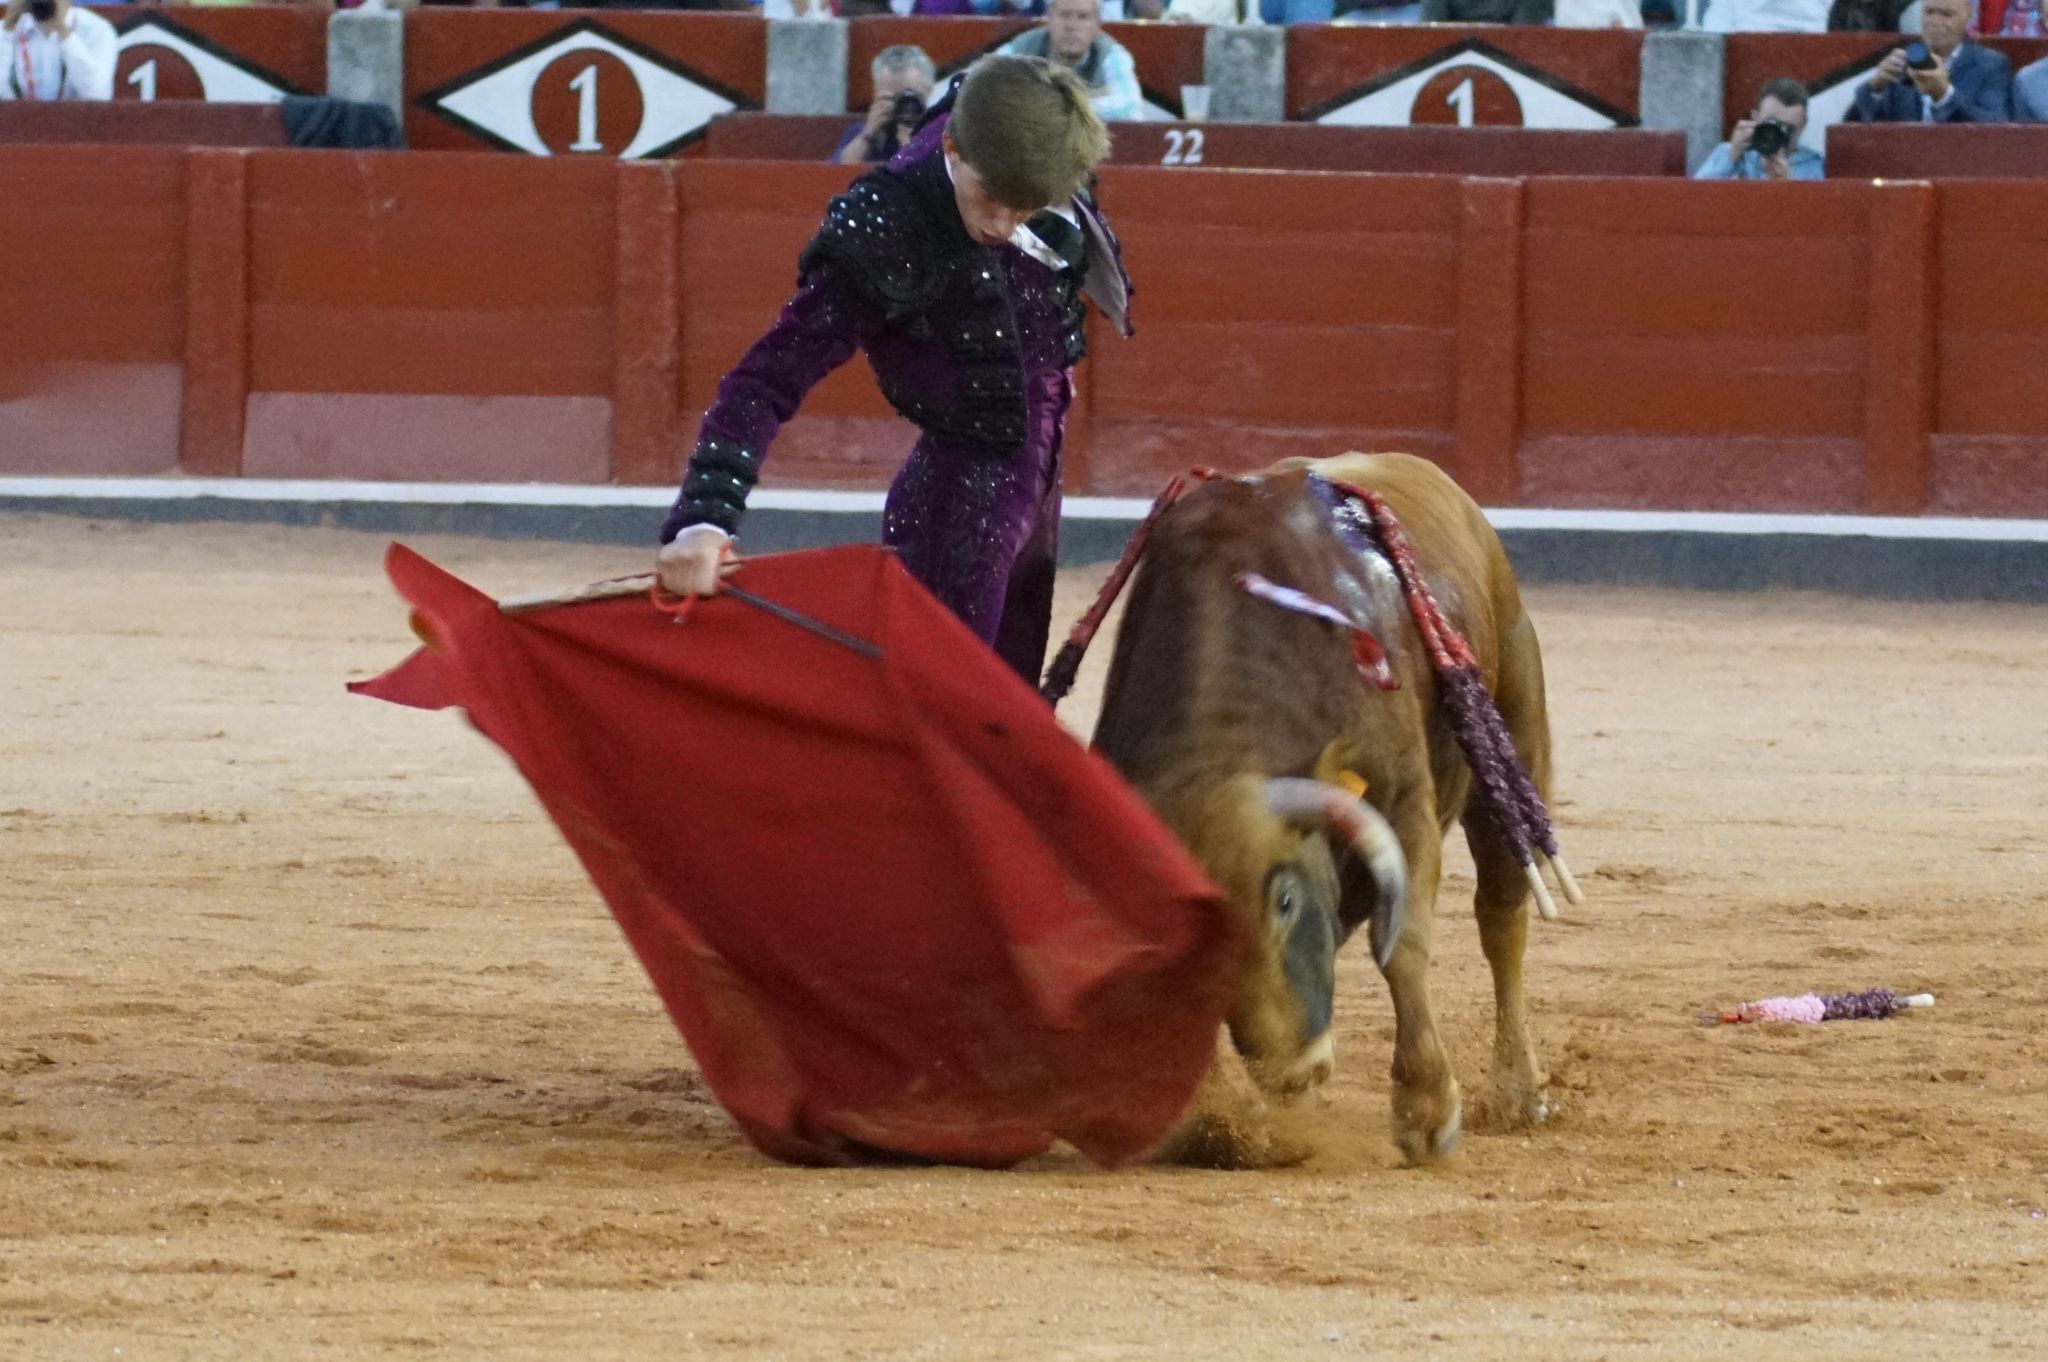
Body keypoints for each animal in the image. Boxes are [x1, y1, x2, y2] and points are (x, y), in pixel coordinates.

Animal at [1097, 450, 1556, 1163]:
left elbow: (1402, 947)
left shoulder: (1405, 805)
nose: (1293, 1071)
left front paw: (1427, 1111)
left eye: (1285, 901)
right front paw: (1213, 1121)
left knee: (1502, 915)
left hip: (1513, 739)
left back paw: (1516, 1092)